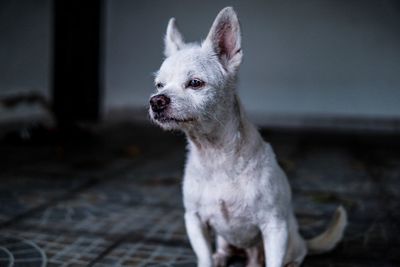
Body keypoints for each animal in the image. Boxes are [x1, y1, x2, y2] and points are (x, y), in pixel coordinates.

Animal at [148, 6, 346, 267]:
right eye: (159, 85)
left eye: (195, 83)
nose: (156, 101)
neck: (214, 154)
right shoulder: (194, 220)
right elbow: (204, 257)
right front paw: (209, 260)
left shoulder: (275, 226)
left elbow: (274, 262)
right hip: (224, 238)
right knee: (227, 251)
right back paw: (222, 256)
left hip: (290, 239)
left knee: (293, 254)